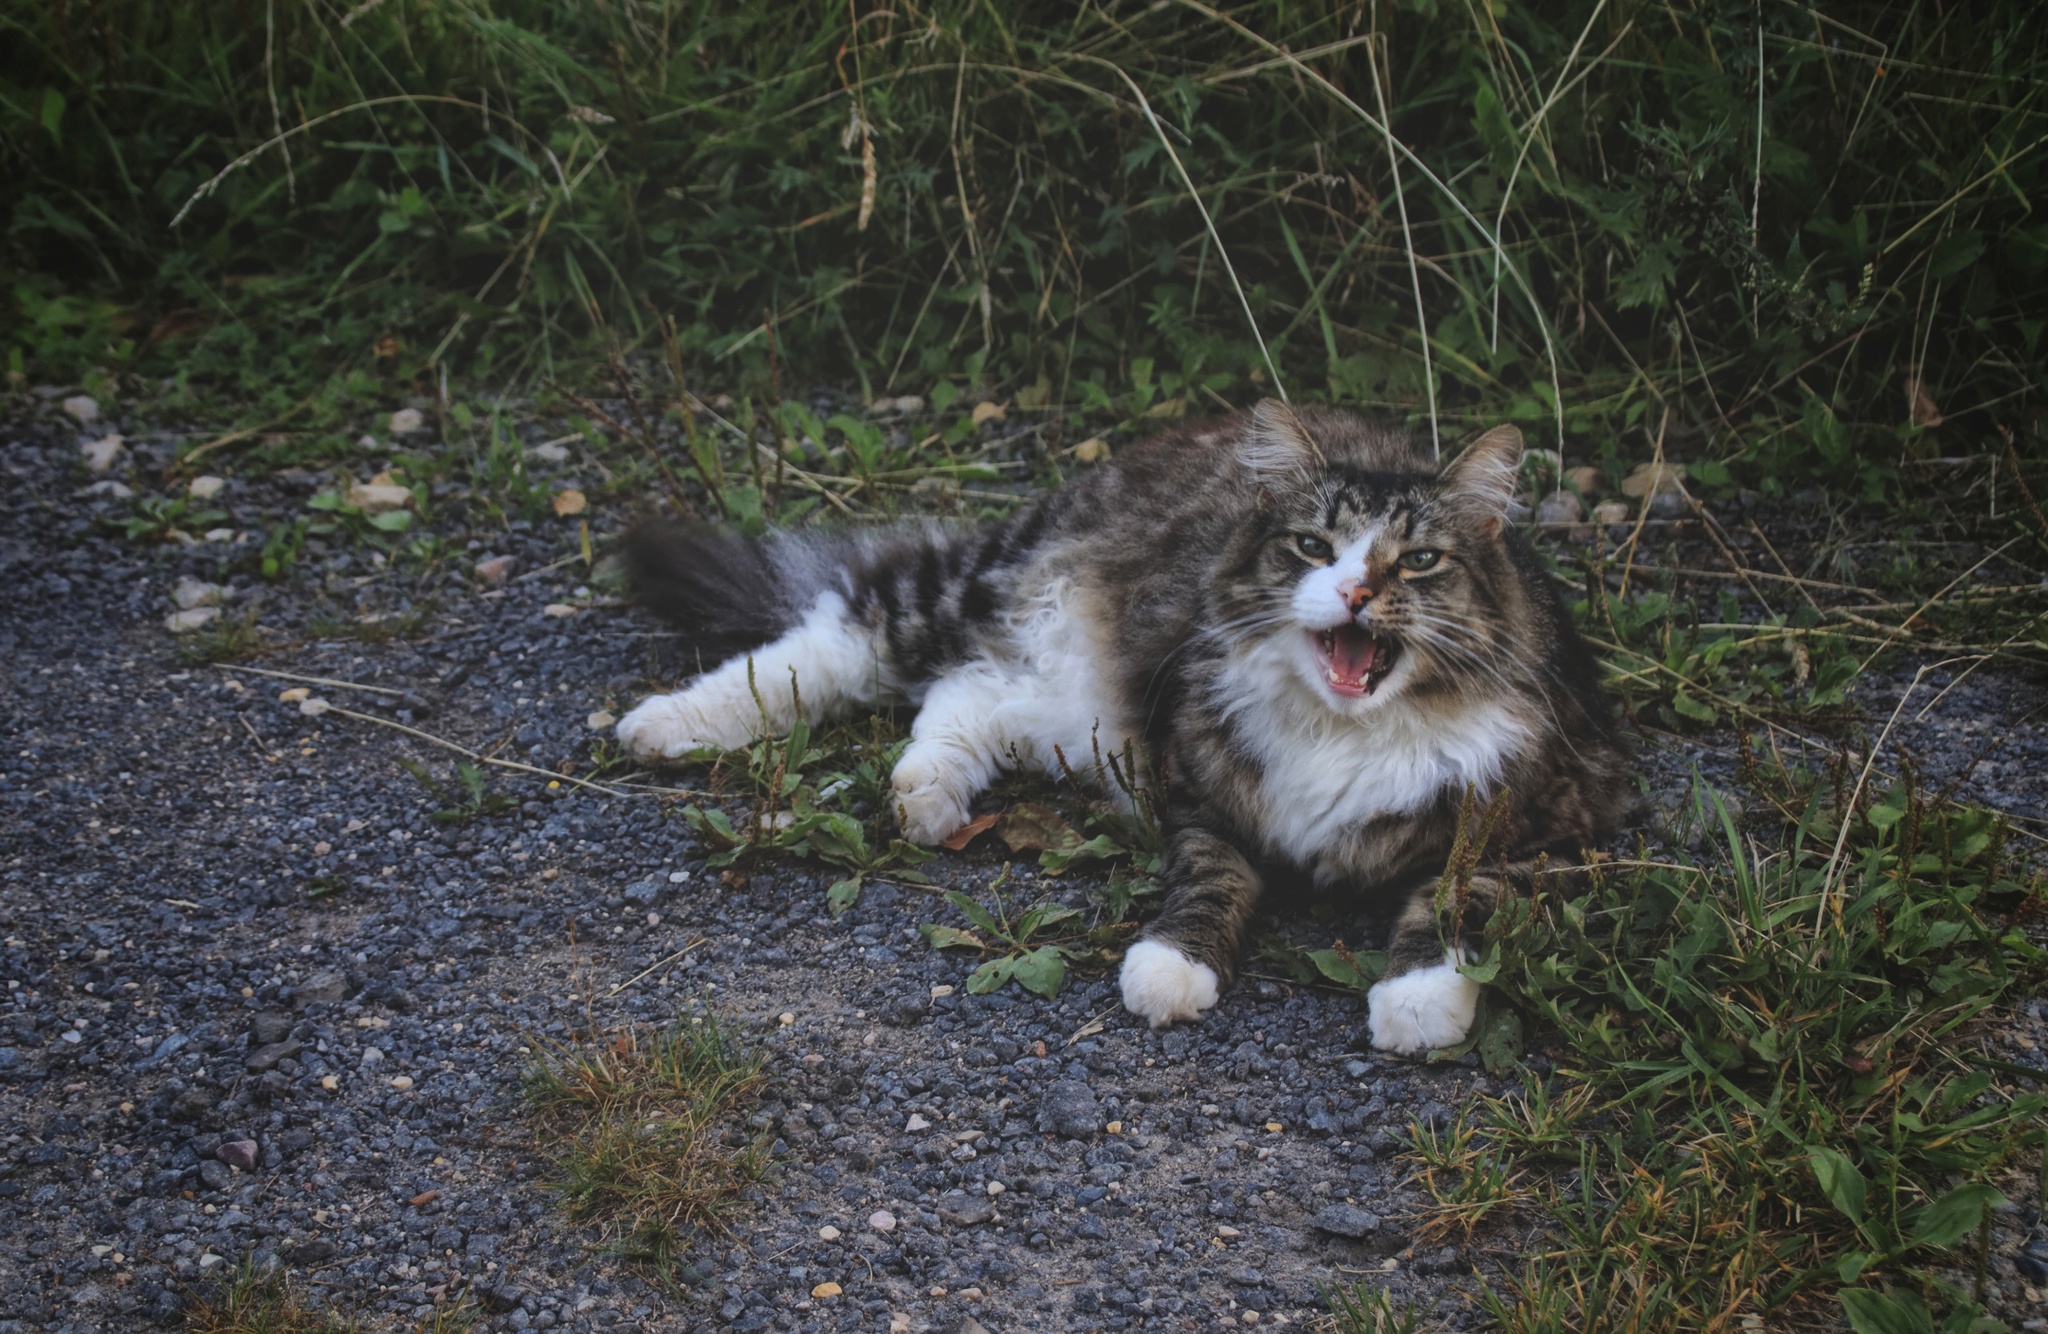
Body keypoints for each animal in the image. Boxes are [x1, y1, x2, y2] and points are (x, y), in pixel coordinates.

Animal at [618, 397, 1630, 1057]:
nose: (1352, 593)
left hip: (1074, 713)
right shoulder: (1198, 788)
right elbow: (1213, 880)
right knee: (839, 638)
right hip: (989, 600)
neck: (1346, 728)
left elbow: (1454, 893)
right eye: (1313, 547)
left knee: (963, 693)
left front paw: (1418, 1000)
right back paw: (668, 722)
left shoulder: (1560, 829)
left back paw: (927, 794)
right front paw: (1172, 969)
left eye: (1418, 561)